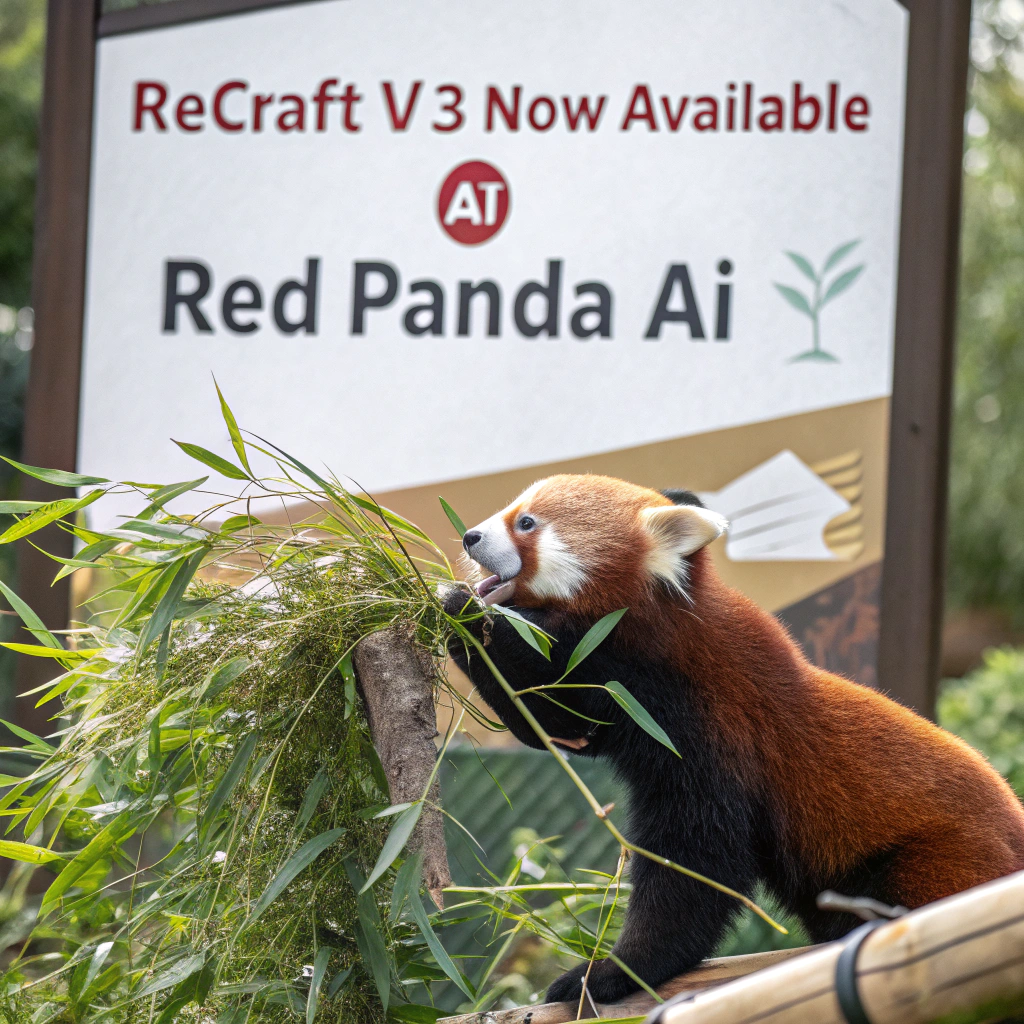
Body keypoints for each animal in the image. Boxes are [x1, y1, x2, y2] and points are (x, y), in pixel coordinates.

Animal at [440, 473, 1024, 1005]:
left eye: (526, 523)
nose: (469, 536)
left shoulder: (712, 724)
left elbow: (696, 864)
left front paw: (612, 971)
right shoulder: (615, 691)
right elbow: (552, 719)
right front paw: (446, 601)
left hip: (939, 859)